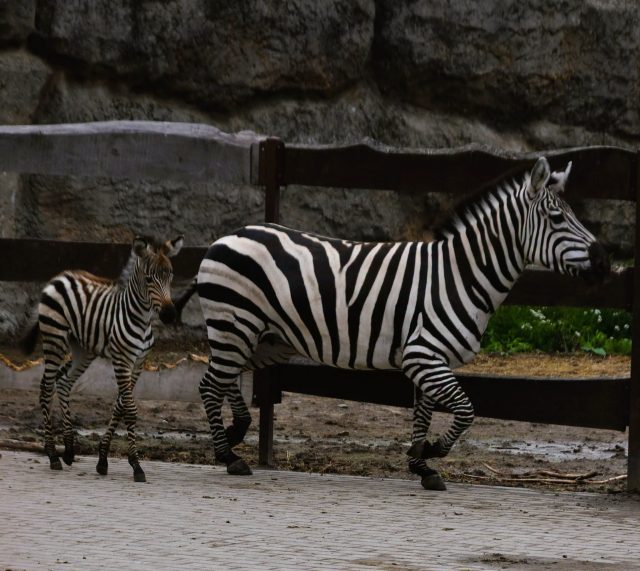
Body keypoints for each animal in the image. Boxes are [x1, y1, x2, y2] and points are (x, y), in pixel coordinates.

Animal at [20, 235, 183, 482]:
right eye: (148, 279)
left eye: (170, 275)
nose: (169, 314)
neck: (141, 319)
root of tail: (60, 275)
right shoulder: (122, 360)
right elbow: (130, 409)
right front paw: (136, 465)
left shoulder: (138, 363)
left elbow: (120, 406)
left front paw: (103, 459)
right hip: (55, 338)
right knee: (46, 388)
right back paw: (53, 455)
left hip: (83, 350)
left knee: (64, 382)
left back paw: (69, 450)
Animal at [196, 157, 609, 490]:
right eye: (557, 218)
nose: (604, 263)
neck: (461, 276)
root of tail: (228, 236)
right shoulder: (422, 354)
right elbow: (466, 410)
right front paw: (433, 451)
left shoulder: (431, 360)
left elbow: (425, 414)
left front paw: (421, 463)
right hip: (236, 326)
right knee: (210, 384)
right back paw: (228, 455)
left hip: (265, 338)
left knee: (225, 379)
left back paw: (236, 431)